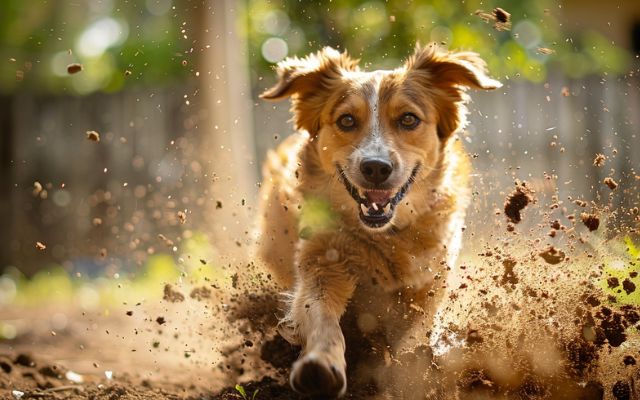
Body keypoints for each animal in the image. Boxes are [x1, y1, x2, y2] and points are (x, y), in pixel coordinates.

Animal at [255, 42, 500, 398]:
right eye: (346, 120)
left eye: (409, 119)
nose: (375, 167)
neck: (385, 235)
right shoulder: (322, 263)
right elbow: (322, 318)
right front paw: (320, 365)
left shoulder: (428, 282)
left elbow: (413, 337)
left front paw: (408, 374)